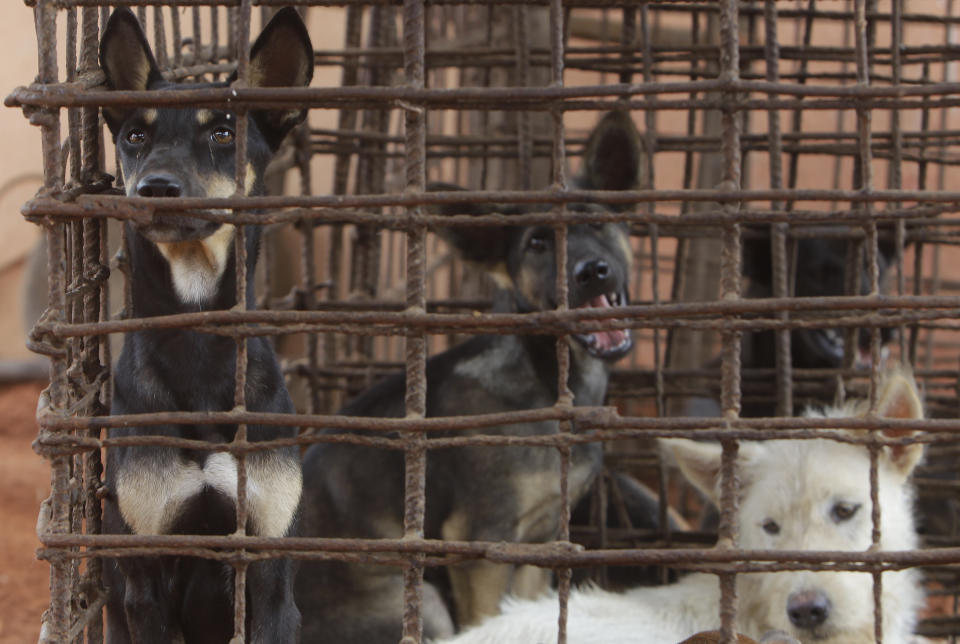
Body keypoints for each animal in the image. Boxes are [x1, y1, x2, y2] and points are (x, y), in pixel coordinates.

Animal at [97, 7, 310, 640]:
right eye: (135, 136)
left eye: (222, 134)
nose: (156, 189)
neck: (197, 332)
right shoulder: (146, 576)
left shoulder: (268, 568)